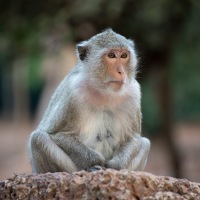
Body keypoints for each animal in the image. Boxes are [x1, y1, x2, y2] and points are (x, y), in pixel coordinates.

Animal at [28, 28, 150, 173]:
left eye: (124, 55)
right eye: (112, 55)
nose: (121, 72)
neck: (104, 91)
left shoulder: (133, 93)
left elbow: (133, 137)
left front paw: (116, 165)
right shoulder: (73, 92)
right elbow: (56, 134)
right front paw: (96, 161)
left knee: (145, 143)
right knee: (38, 138)